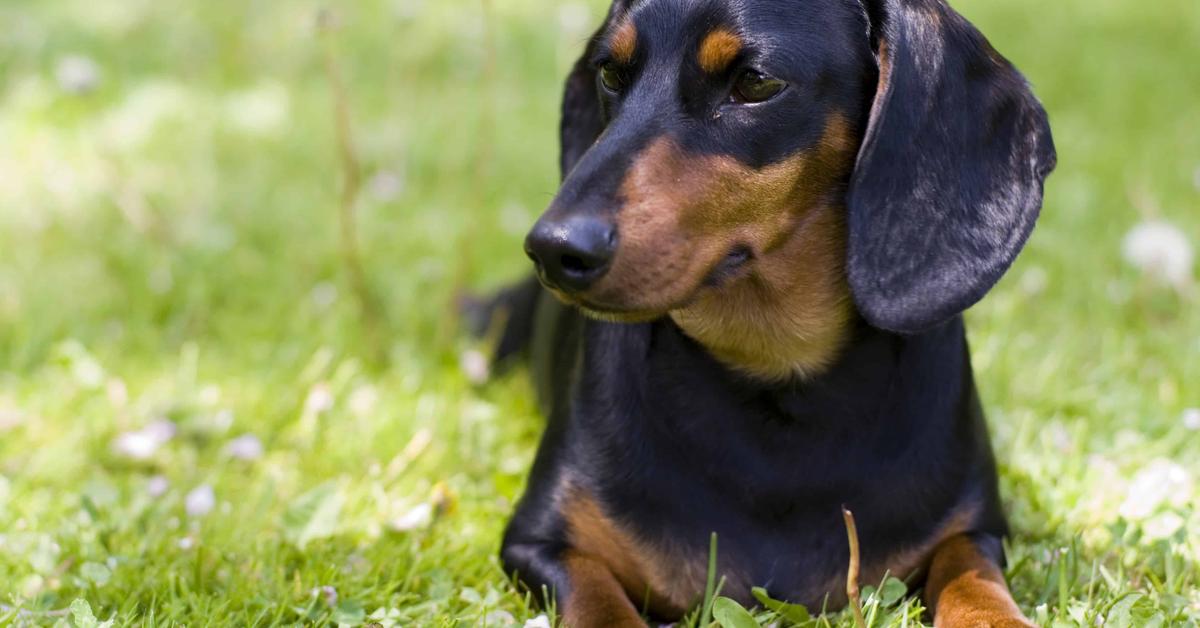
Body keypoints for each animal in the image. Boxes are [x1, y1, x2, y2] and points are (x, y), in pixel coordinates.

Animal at [468, 0, 1051, 624]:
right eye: (609, 74)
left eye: (755, 83)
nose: (554, 248)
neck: (773, 371)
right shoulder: (541, 544)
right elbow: (601, 604)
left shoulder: (974, 533)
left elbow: (974, 581)